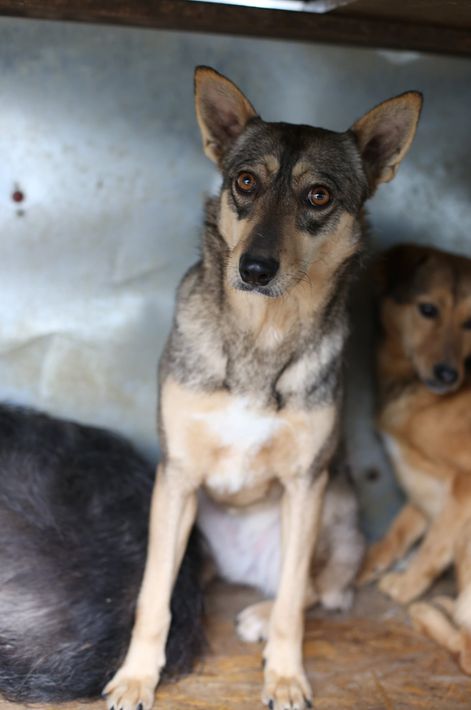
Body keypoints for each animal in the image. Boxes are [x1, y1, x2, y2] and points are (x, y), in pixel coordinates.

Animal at [104, 67, 422, 710]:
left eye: (318, 195)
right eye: (245, 182)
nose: (252, 269)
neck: (260, 335)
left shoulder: (305, 483)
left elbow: (295, 608)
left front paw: (286, 675)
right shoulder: (177, 478)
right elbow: (154, 596)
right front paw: (137, 675)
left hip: (332, 503)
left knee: (317, 590)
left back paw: (259, 613)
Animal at [358, 243, 471, 673]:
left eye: (470, 322)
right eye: (428, 309)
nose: (448, 375)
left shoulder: (463, 482)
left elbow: (435, 543)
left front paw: (407, 586)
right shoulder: (423, 484)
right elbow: (399, 531)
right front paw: (364, 566)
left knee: (466, 650)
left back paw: (429, 611)